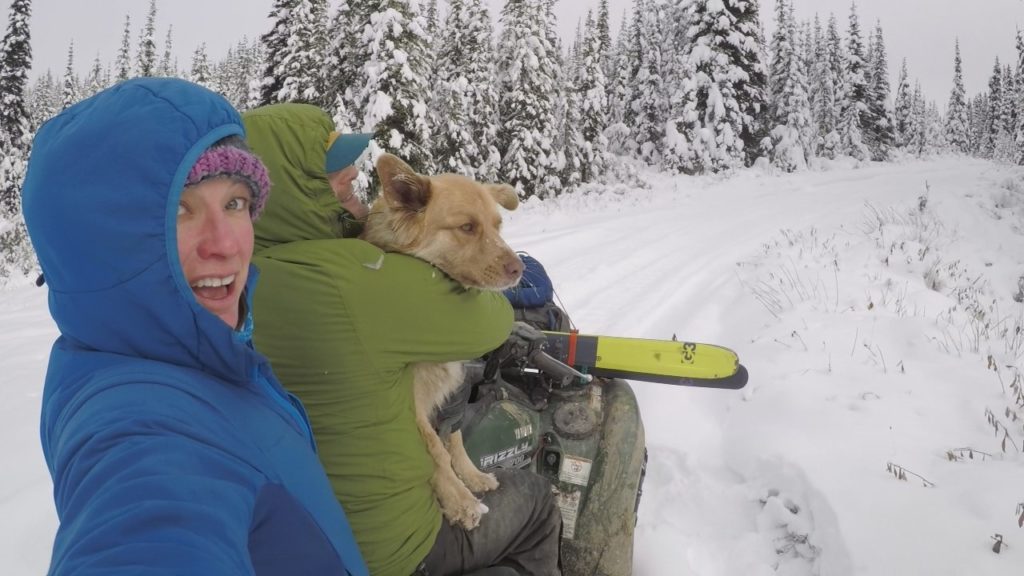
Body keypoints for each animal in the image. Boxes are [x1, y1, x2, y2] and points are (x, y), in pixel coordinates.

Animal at [360, 153, 524, 528]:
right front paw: (461, 501)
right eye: (467, 227)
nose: (519, 269)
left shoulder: (449, 397)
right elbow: (435, 452)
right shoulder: (411, 406)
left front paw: (472, 476)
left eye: (498, 226)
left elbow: (454, 436)